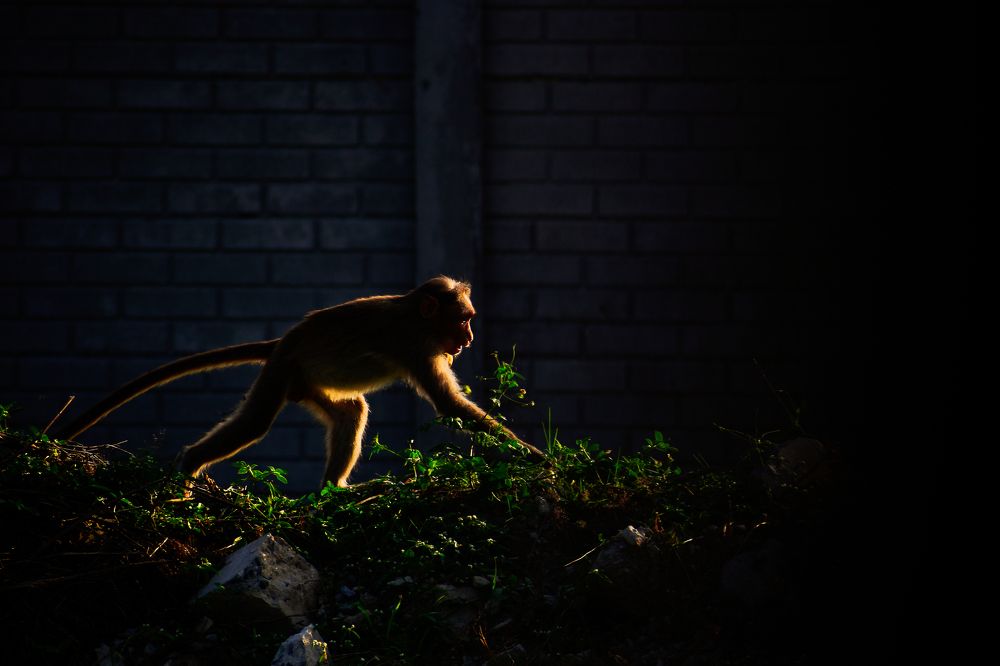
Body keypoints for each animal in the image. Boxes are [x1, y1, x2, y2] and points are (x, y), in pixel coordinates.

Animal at [55, 276, 544, 488]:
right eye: (463, 320)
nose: (468, 339)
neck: (414, 313)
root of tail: (286, 339)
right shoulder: (416, 347)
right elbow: (450, 407)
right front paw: (539, 458)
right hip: (283, 371)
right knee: (254, 424)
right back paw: (189, 465)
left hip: (303, 382)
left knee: (350, 412)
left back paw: (333, 491)